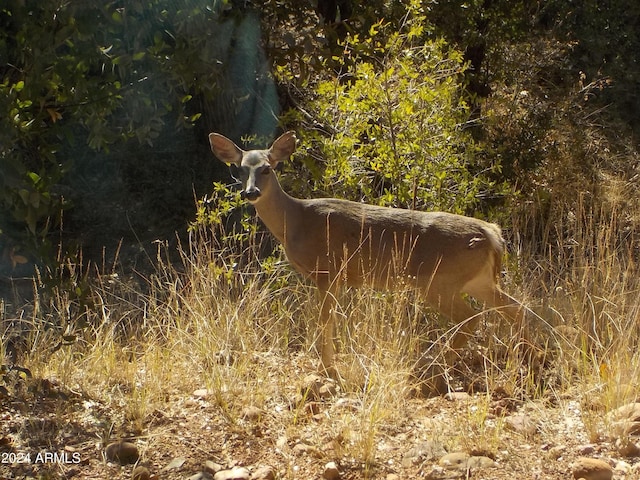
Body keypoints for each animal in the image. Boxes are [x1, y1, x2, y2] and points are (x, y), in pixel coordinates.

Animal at [210, 131, 524, 394]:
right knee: (517, 309)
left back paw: (430, 373)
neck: (296, 221)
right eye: (240, 169)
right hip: (477, 281)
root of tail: (492, 234)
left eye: (267, 167)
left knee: (471, 318)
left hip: (439, 281)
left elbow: (325, 322)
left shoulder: (328, 270)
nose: (250, 192)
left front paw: (327, 370)